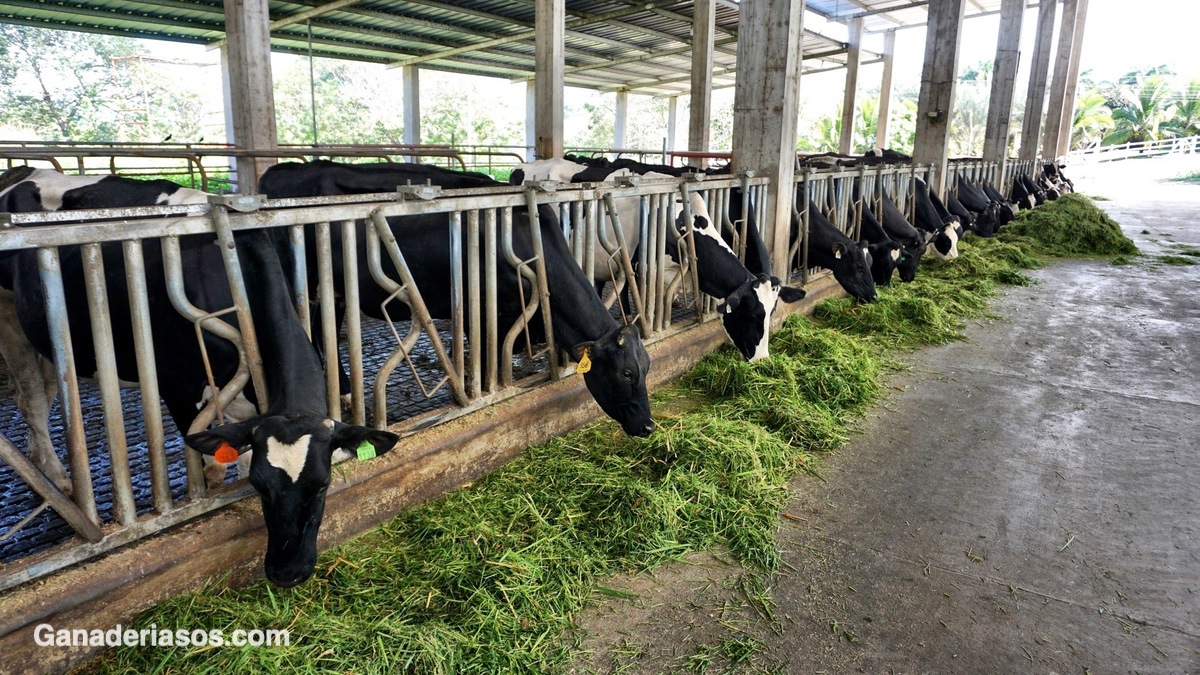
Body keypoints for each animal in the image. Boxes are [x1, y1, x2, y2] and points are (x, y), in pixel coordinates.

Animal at [0, 168, 393, 583]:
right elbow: (215, 468)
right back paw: (57, 479)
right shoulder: (178, 384)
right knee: (31, 398)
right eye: (261, 485)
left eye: (322, 484)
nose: (287, 571)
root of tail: (23, 172)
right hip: (9, 319)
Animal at [260, 157, 657, 432]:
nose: (650, 426)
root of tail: (282, 170)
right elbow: (483, 353)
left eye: (647, 366)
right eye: (626, 374)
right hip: (303, 284)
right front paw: (476, 390)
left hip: (336, 290)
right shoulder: (478, 304)